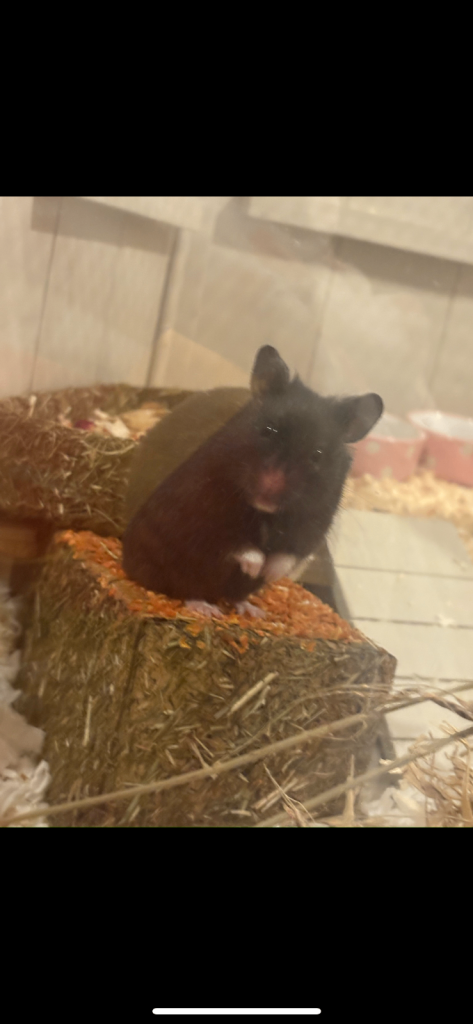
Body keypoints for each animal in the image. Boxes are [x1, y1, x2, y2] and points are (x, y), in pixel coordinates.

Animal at [122, 346, 383, 617]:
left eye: (317, 455)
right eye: (267, 430)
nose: (268, 491)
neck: (265, 513)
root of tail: (126, 559)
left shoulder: (312, 526)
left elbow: (287, 555)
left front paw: (269, 572)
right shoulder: (208, 517)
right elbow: (239, 545)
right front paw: (257, 567)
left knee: (233, 595)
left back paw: (252, 610)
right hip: (174, 566)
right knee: (185, 588)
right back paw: (207, 609)